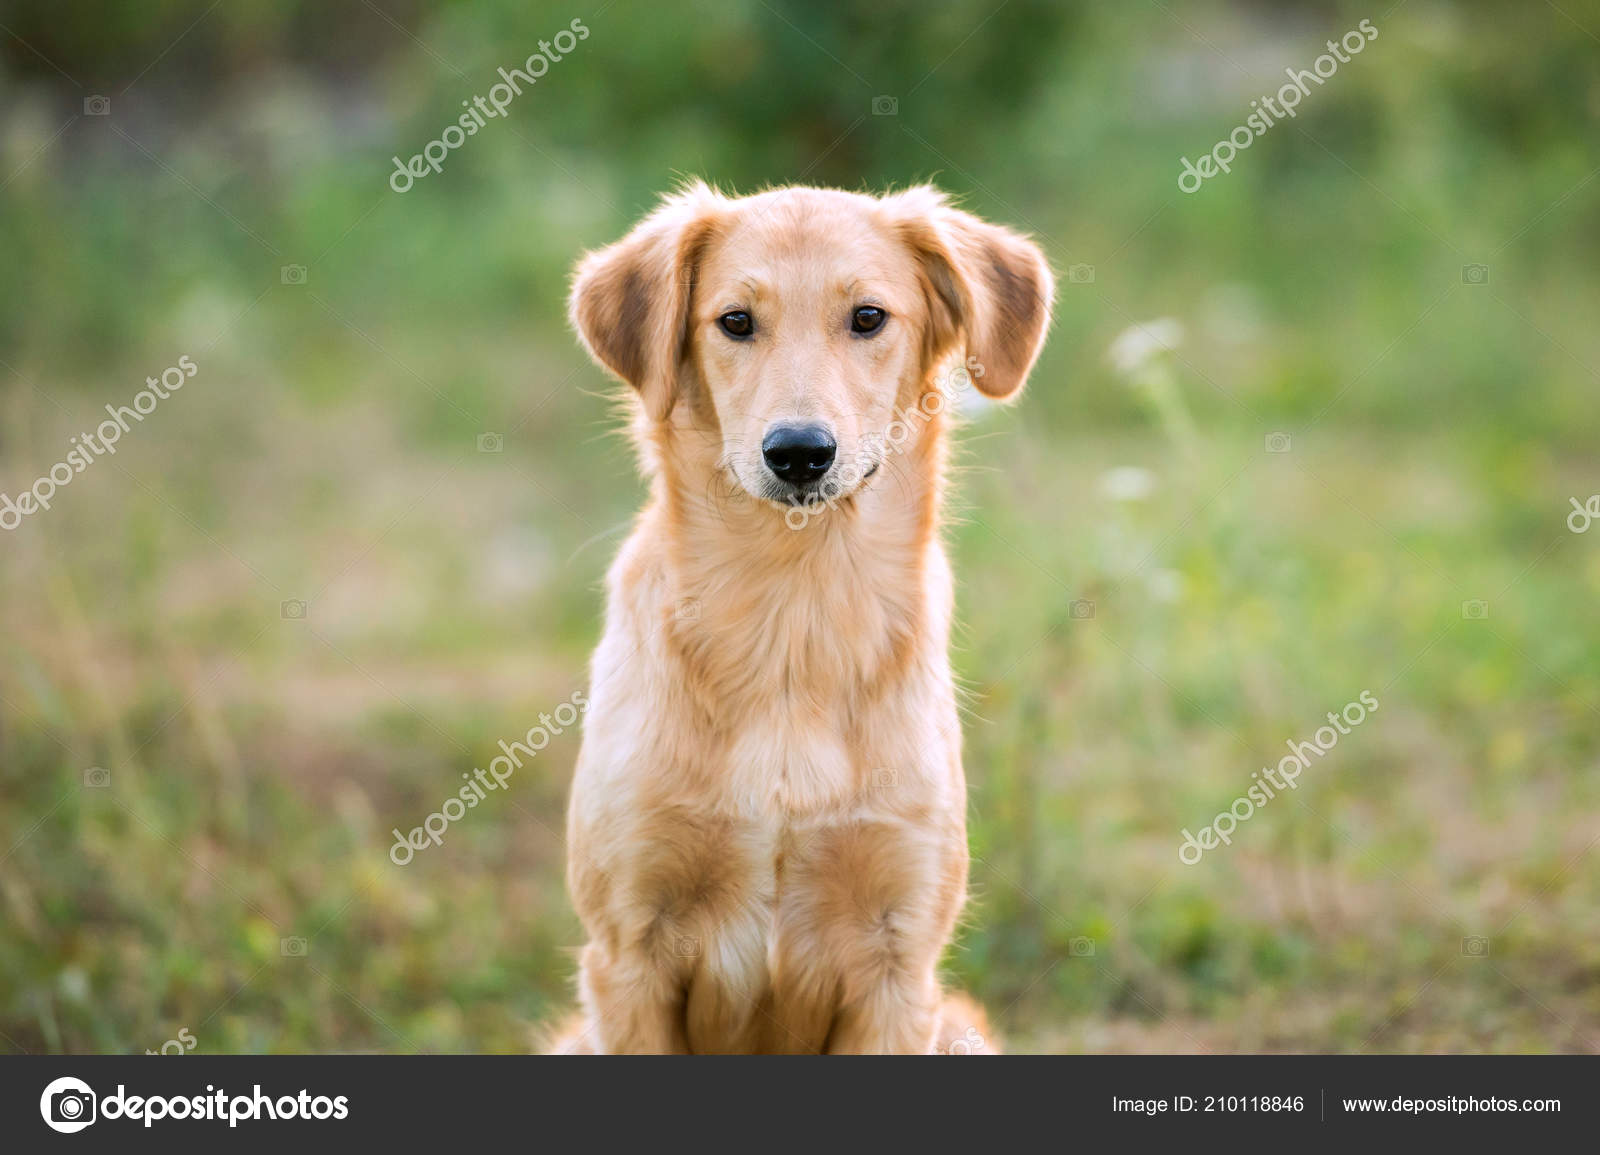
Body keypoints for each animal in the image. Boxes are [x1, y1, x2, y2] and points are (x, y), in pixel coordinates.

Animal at [547, 182, 1049, 1055]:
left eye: (869, 317)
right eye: (735, 321)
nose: (800, 452)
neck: (793, 620)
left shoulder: (898, 963)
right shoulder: (627, 954)